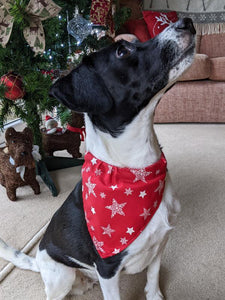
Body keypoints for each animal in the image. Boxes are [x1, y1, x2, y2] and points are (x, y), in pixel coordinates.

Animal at [0, 18, 195, 300]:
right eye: (122, 52)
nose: (186, 22)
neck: (135, 170)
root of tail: (39, 260)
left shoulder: (160, 243)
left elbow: (153, 277)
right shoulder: (108, 268)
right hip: (63, 275)